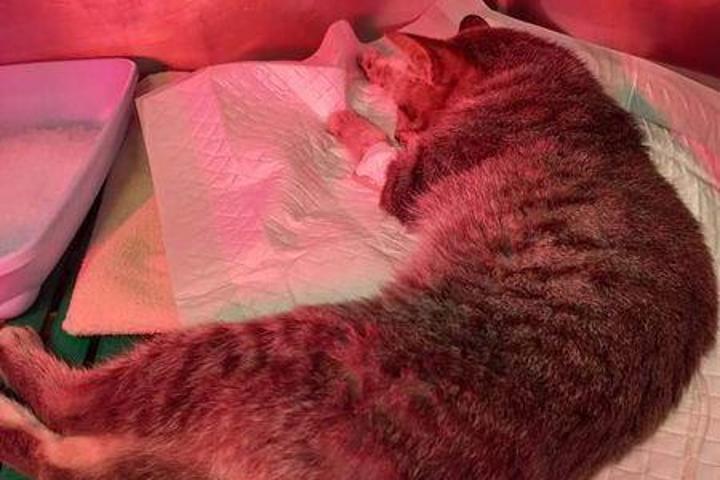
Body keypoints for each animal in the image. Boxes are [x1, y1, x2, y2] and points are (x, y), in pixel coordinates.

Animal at [0, 14, 716, 480]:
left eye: (408, 125)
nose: (404, 132)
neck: (560, 95)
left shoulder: (407, 183)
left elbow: (377, 149)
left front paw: (358, 106)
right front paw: (375, 64)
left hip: (244, 349)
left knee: (77, 411)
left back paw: (17, 353)